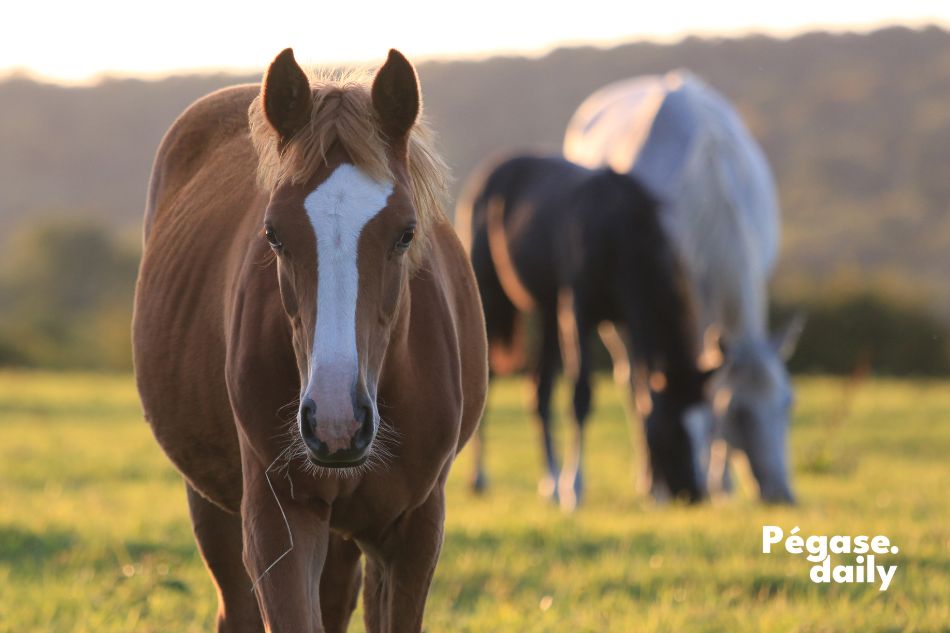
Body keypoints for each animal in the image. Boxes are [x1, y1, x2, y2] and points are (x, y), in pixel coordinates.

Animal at [133, 48, 487, 632]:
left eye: (407, 232)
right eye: (273, 233)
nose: (335, 420)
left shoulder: (413, 531)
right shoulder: (280, 522)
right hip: (214, 505)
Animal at [456, 153, 716, 510]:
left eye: (707, 426)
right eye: (674, 430)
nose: (693, 494)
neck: (621, 231)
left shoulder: (627, 319)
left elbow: (640, 395)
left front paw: (652, 490)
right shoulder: (578, 310)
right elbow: (581, 394)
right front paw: (574, 488)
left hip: (549, 310)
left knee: (539, 391)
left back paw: (549, 482)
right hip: (492, 298)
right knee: (489, 378)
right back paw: (479, 479)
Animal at [563, 70, 803, 503]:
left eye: (788, 404)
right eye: (738, 412)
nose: (781, 494)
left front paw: (719, 484)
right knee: (632, 382)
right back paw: (649, 481)